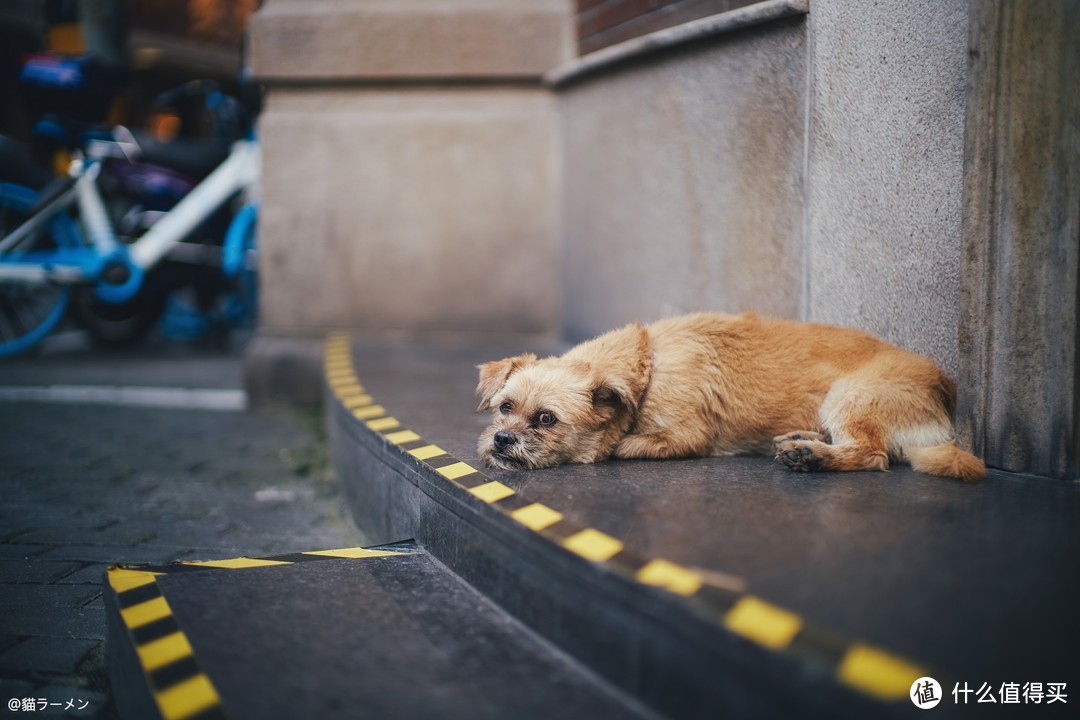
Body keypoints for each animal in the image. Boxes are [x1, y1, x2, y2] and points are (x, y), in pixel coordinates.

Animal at [473, 313, 989, 481]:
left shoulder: (684, 438)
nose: (501, 439)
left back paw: (814, 457)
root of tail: (946, 389)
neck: (648, 365)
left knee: (874, 454)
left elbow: (620, 445)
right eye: (504, 408)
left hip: (851, 394)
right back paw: (803, 443)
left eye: (546, 419)